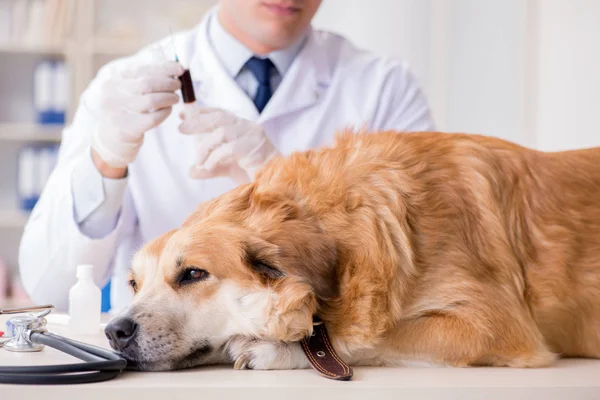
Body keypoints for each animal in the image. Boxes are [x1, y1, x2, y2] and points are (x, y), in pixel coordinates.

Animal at [104, 131, 600, 372]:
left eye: (193, 274)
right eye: (133, 283)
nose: (114, 331)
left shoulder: (494, 326)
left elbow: (371, 337)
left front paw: (278, 350)